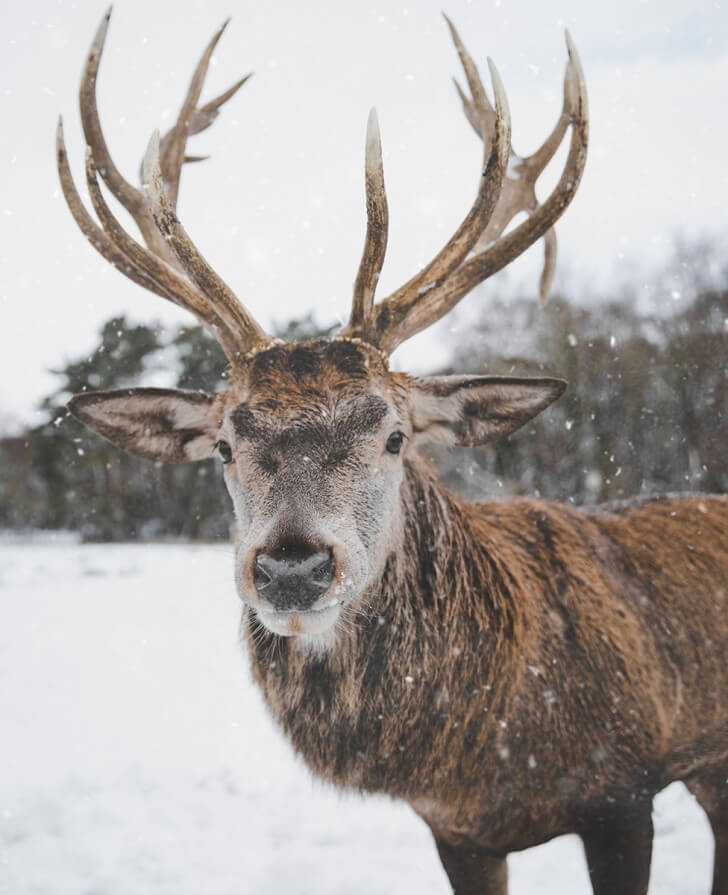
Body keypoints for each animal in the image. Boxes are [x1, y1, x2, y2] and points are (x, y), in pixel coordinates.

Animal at [57, 11, 728, 895]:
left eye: (395, 434)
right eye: (226, 445)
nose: (293, 567)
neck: (488, 747)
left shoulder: (624, 788)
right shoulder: (457, 832)